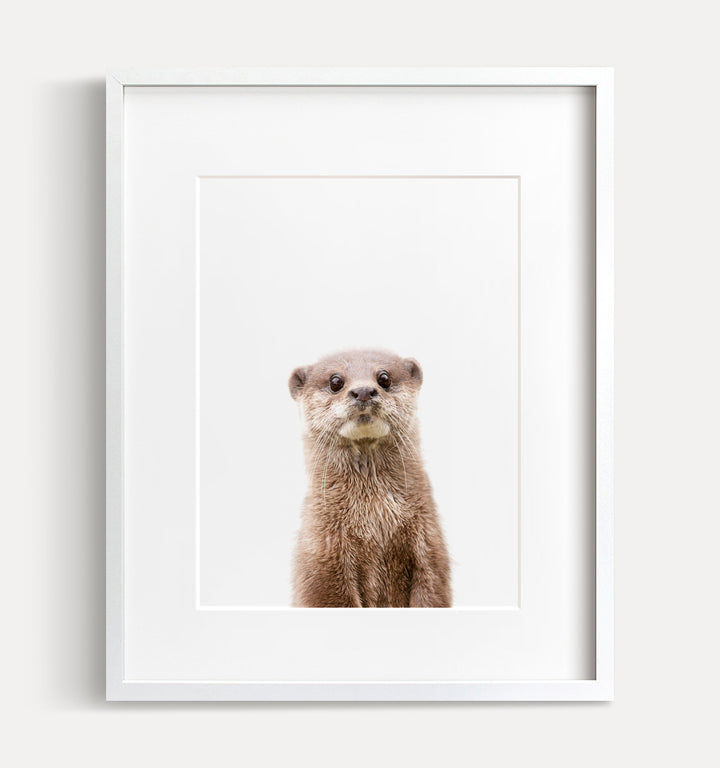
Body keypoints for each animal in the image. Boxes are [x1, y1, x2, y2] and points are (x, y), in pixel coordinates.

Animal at [288, 348, 451, 607]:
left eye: (384, 378)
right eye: (336, 381)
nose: (364, 391)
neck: (374, 520)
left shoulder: (430, 546)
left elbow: (432, 591)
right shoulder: (322, 557)